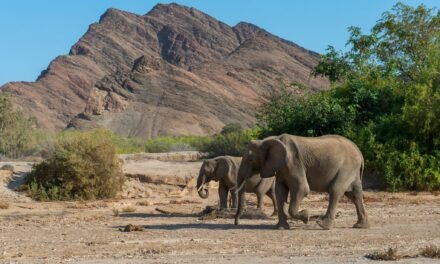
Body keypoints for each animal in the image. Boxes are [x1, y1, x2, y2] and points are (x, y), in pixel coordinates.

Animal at [235, 134, 370, 229]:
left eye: (249, 159)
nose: (237, 223)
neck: (270, 139)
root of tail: (360, 153)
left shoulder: (293, 162)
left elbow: (302, 188)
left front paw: (306, 216)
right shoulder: (282, 167)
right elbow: (280, 192)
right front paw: (281, 228)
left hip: (346, 167)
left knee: (335, 190)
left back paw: (322, 225)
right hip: (352, 171)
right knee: (354, 195)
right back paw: (360, 226)